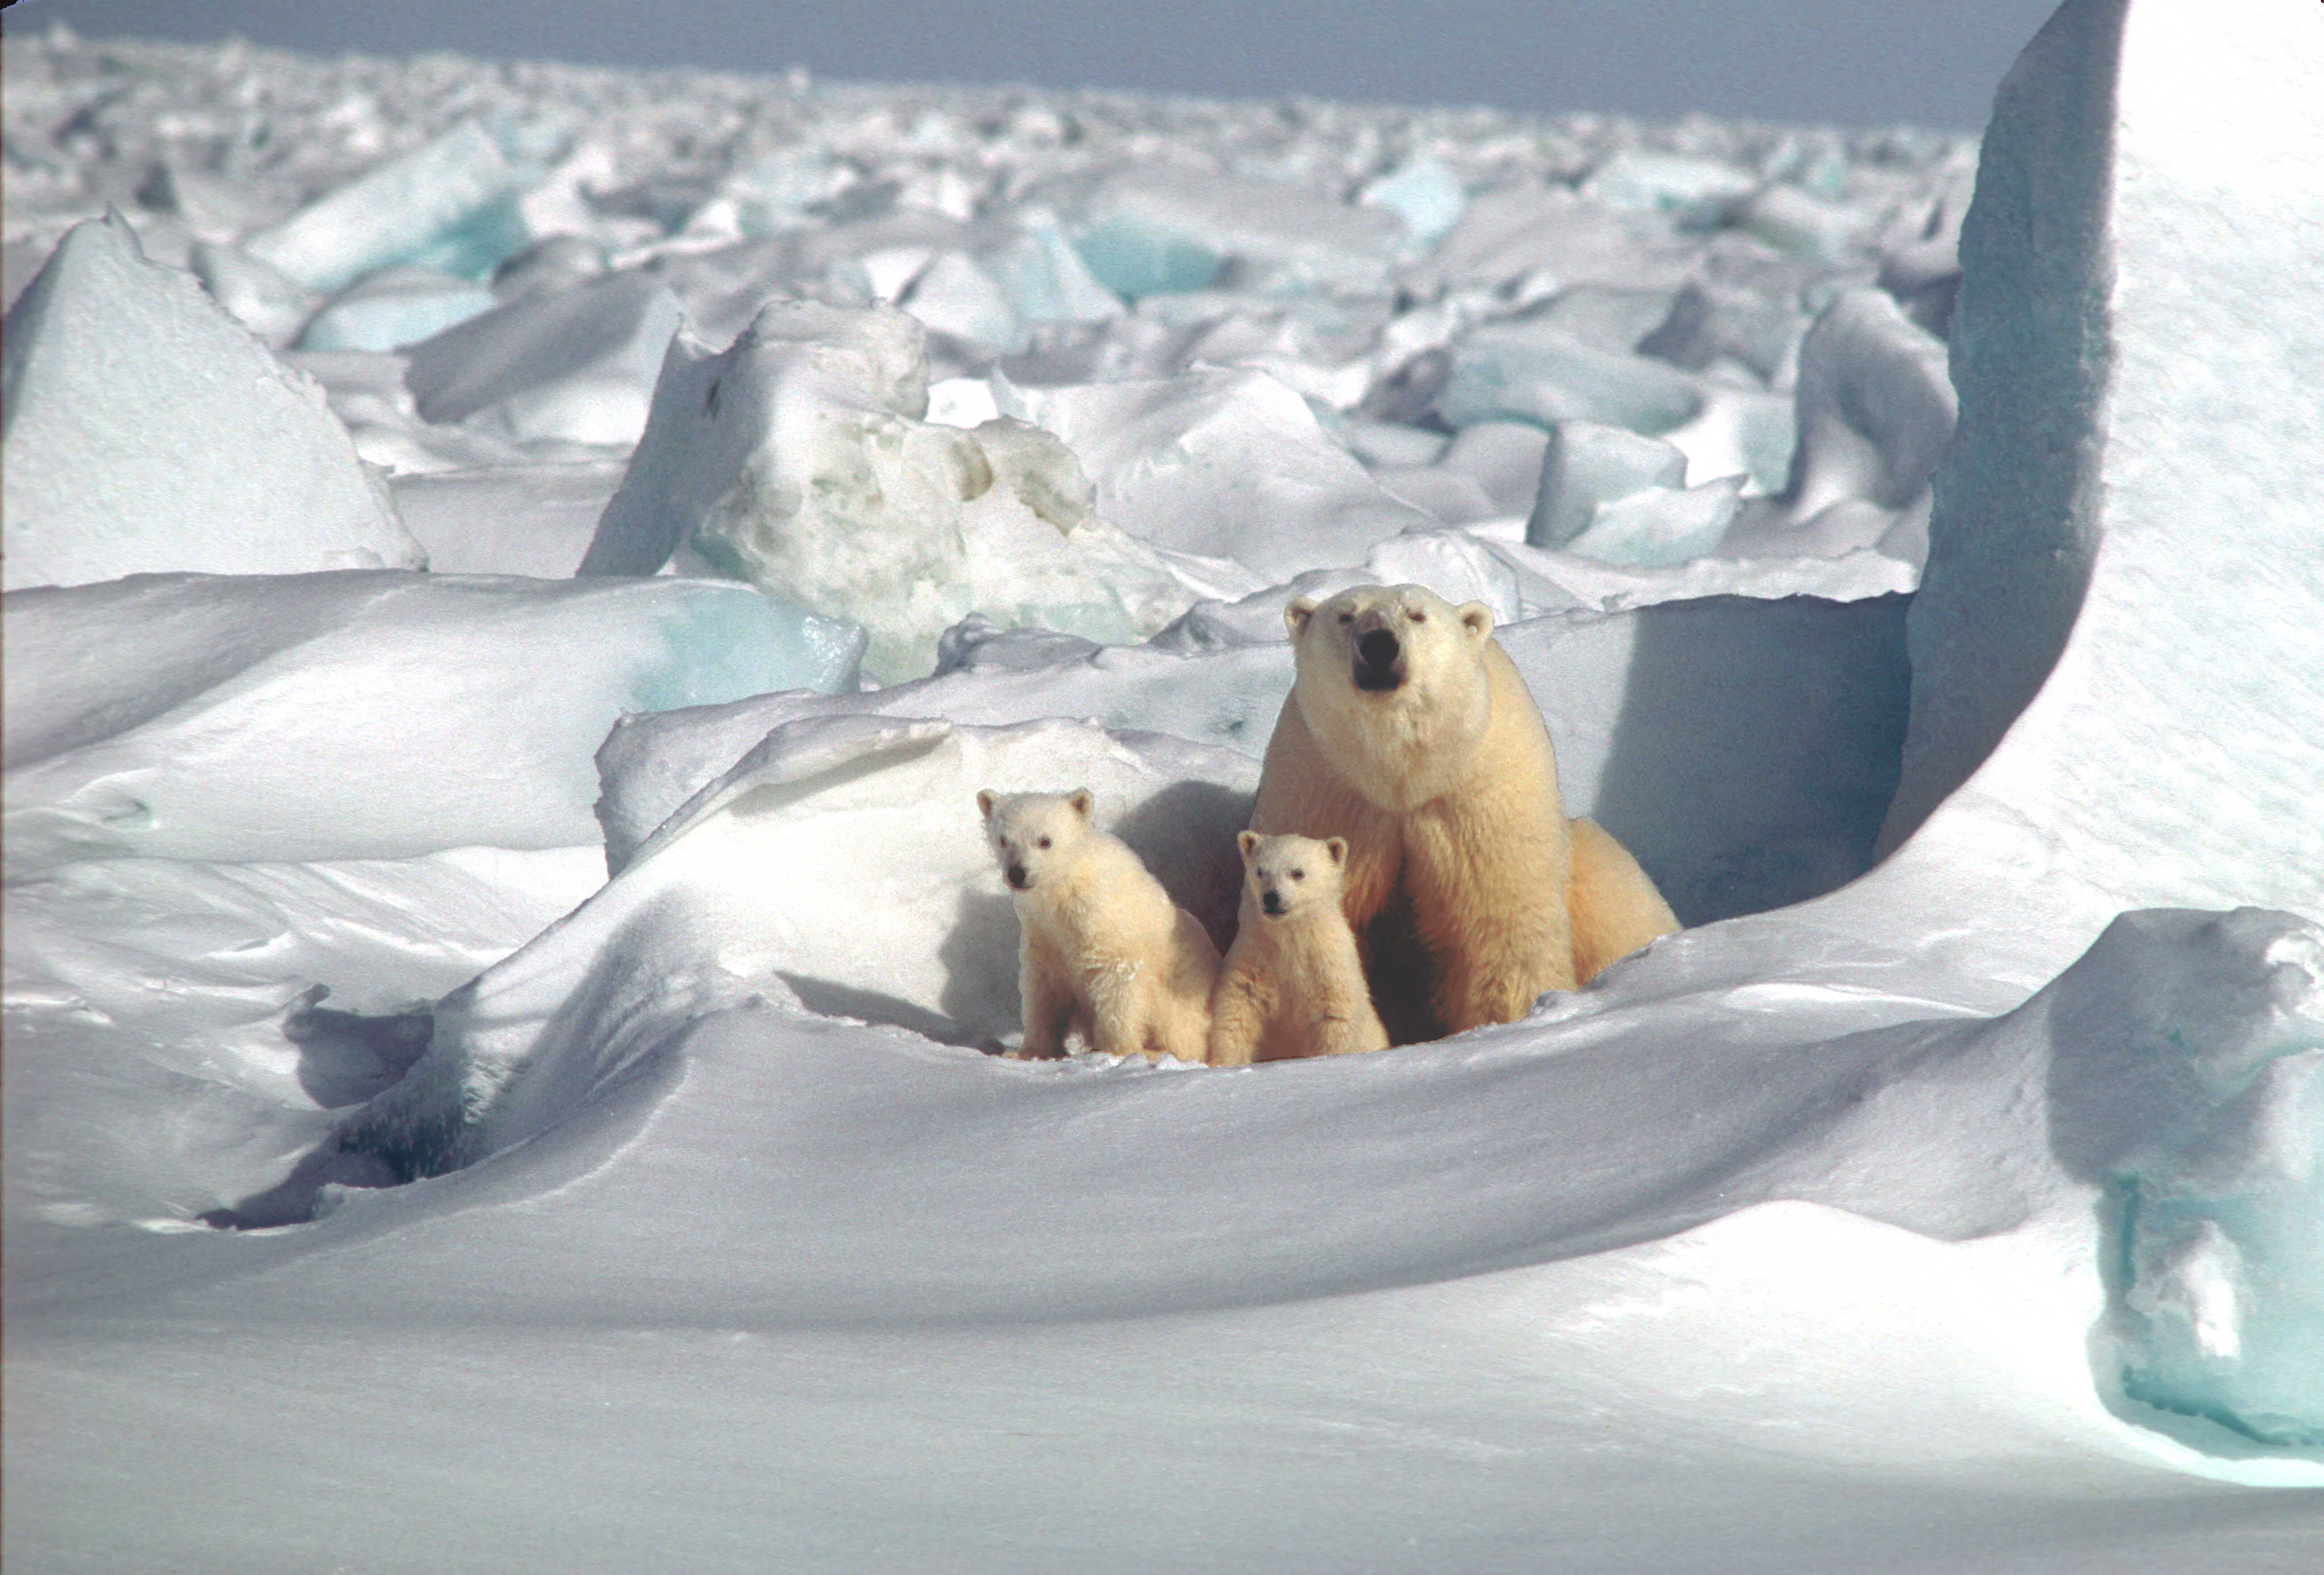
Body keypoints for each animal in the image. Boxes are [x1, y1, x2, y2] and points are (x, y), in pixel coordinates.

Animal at [976, 794, 1227, 1068]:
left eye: (1045, 841)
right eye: (1003, 840)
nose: (1017, 873)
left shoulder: (1105, 922)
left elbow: (1118, 982)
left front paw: (1118, 1052)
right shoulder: (1042, 930)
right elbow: (1044, 987)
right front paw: (1028, 1052)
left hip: (1181, 1004)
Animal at [1208, 827, 1385, 1073]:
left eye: (1298, 873)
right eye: (1260, 871)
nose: (1271, 898)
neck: (1291, 939)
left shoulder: (1328, 969)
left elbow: (1336, 1018)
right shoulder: (1253, 960)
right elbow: (1237, 1009)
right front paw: (1227, 1063)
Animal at [1255, 585, 1673, 1040]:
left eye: (1418, 615)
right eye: (1345, 616)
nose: (1380, 644)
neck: (1402, 775)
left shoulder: (1476, 798)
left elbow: (1498, 924)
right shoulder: (1330, 794)